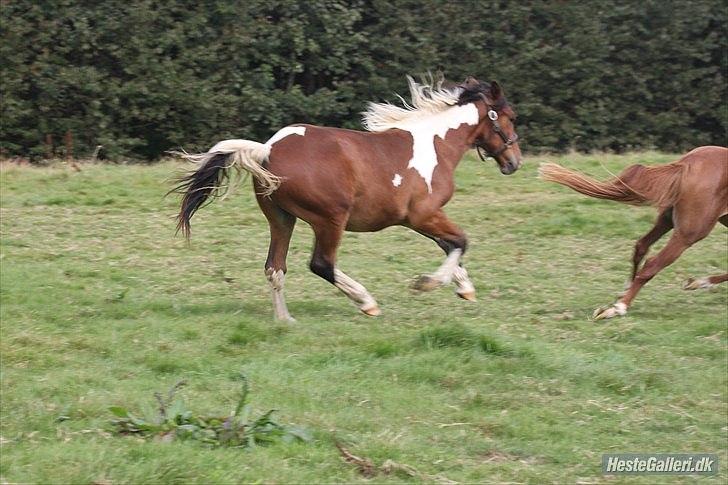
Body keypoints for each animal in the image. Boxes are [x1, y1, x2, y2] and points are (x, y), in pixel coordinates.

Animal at [173, 76, 520, 322]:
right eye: (511, 117)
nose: (514, 162)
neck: (437, 144)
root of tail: (267, 149)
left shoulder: (419, 219)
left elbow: (451, 246)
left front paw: (464, 288)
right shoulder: (423, 214)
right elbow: (461, 241)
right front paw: (427, 283)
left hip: (282, 219)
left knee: (275, 267)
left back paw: (285, 320)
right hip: (330, 219)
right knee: (321, 264)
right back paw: (367, 302)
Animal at [540, 147, 728, 322]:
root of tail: (687, 163)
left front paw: (698, 282)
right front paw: (698, 283)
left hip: (668, 219)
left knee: (641, 246)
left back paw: (624, 292)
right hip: (689, 232)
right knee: (652, 263)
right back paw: (617, 308)